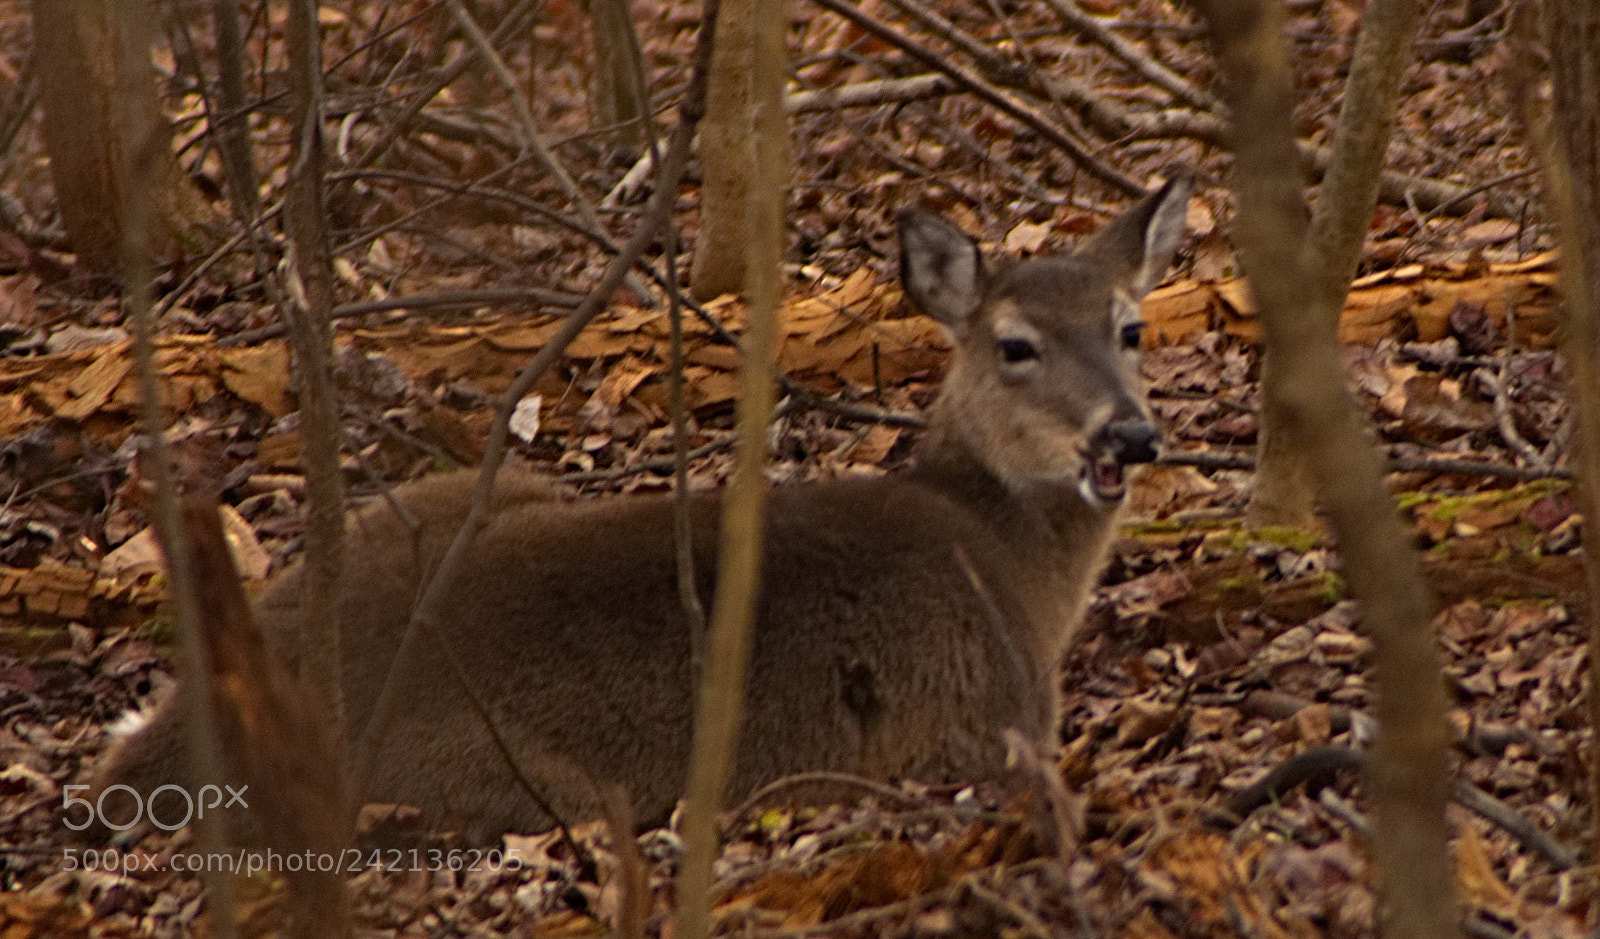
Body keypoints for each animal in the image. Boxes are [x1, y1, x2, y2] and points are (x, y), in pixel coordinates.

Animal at [91, 173, 1192, 844]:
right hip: (513, 786)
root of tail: (161, 749)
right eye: (1015, 345)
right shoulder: (996, 722)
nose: (1130, 436)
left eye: (1130, 327)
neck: (1010, 560)